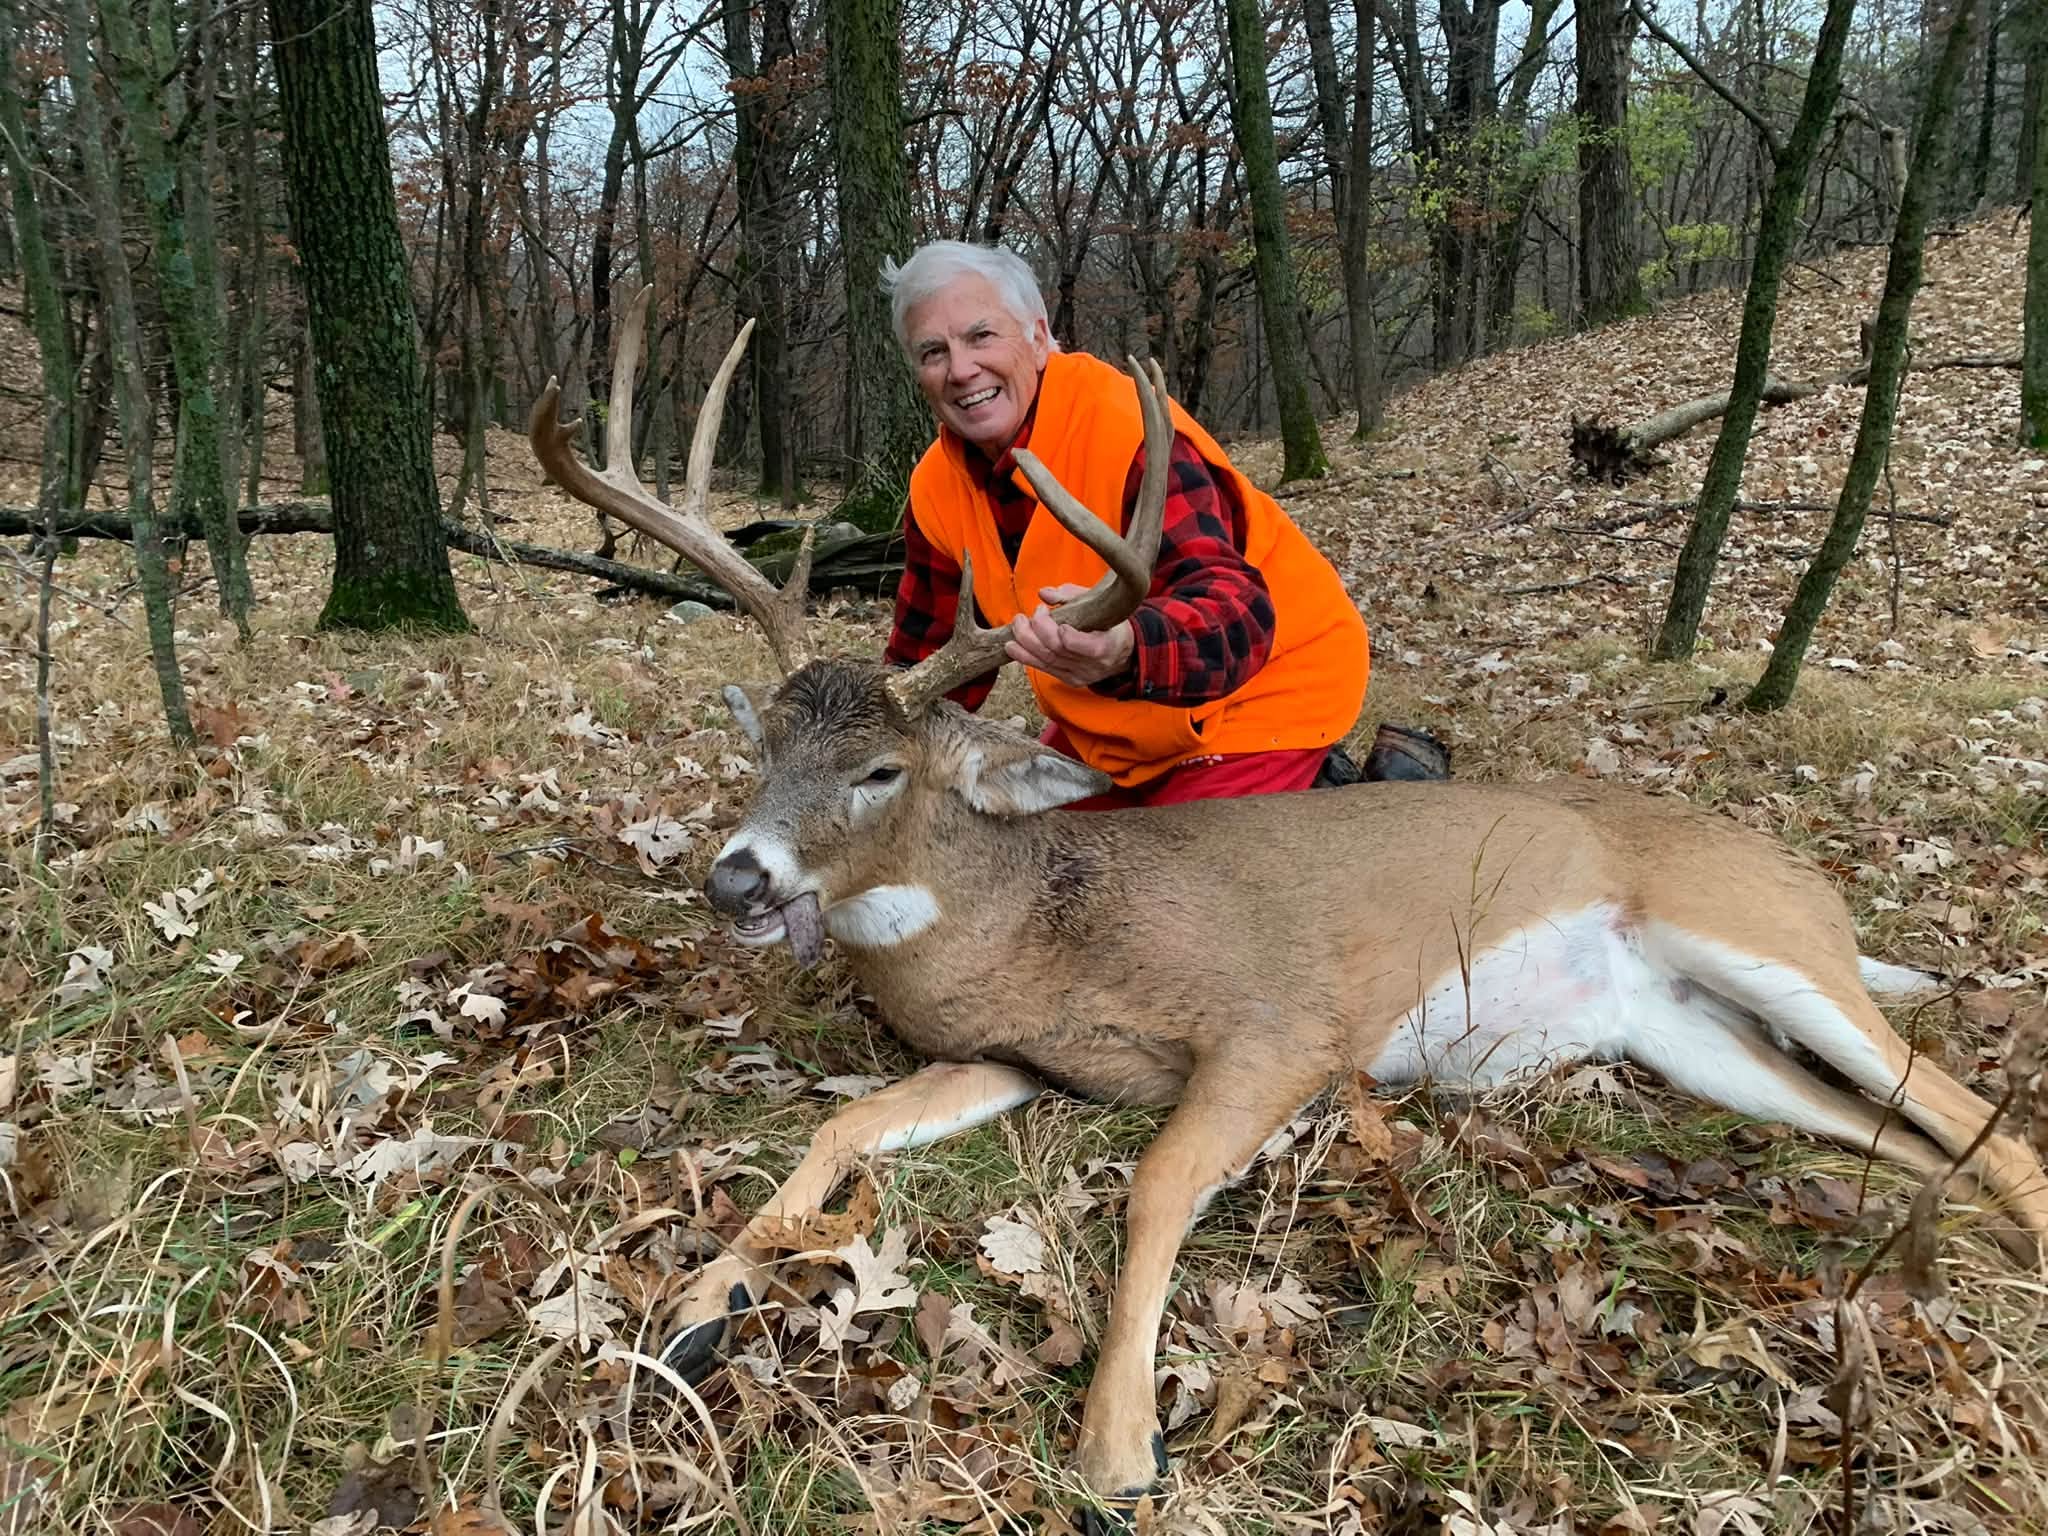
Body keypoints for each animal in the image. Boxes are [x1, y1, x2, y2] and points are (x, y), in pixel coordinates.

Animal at [531, 286, 2048, 1523]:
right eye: (767, 747)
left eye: (880, 768)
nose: (734, 876)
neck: (1046, 928)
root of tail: (1810, 880)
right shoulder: (1013, 1058)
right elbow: (837, 1128)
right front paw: (689, 1312)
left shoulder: (1280, 1021)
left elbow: (1153, 1183)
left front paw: (1118, 1451)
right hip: (1684, 1031)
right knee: (1901, 1132)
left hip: (1760, 937)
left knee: (1978, 1115)